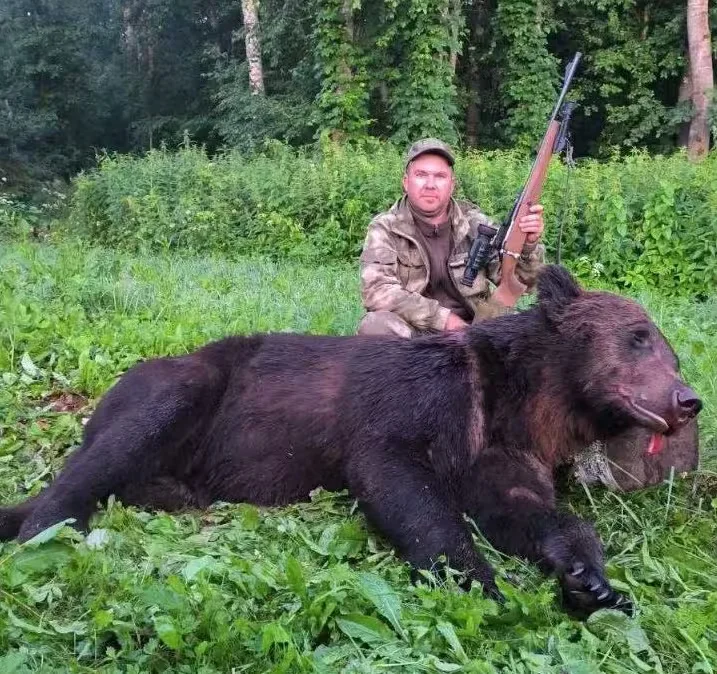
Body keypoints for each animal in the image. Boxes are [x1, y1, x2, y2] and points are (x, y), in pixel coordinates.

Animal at [0, 265, 702, 618]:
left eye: (668, 349)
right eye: (638, 337)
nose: (686, 398)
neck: (520, 401)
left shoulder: (505, 447)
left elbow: (525, 509)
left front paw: (593, 582)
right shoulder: (423, 403)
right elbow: (399, 478)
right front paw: (483, 584)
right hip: (181, 383)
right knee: (116, 444)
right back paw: (49, 526)